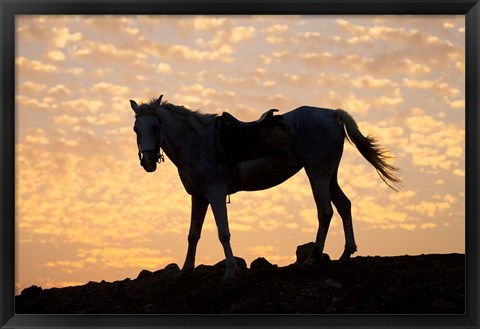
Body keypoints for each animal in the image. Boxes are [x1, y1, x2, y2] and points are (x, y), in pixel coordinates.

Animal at [128, 95, 402, 284]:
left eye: (155, 127)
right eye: (136, 129)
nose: (148, 162)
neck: (194, 140)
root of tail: (331, 114)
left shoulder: (215, 193)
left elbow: (223, 233)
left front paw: (230, 273)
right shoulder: (199, 197)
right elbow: (193, 234)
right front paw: (184, 272)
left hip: (317, 173)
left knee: (325, 212)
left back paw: (312, 260)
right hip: (329, 175)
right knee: (344, 205)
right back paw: (346, 253)